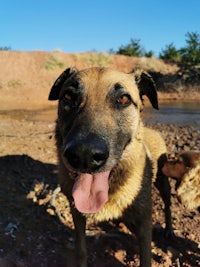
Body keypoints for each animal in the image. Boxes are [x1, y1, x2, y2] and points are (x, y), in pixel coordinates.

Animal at [48, 67, 172, 267]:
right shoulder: (77, 214)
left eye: (123, 99)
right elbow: (81, 250)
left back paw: (169, 229)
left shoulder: (145, 223)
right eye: (68, 96)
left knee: (168, 205)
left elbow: (146, 257)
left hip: (163, 183)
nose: (84, 155)